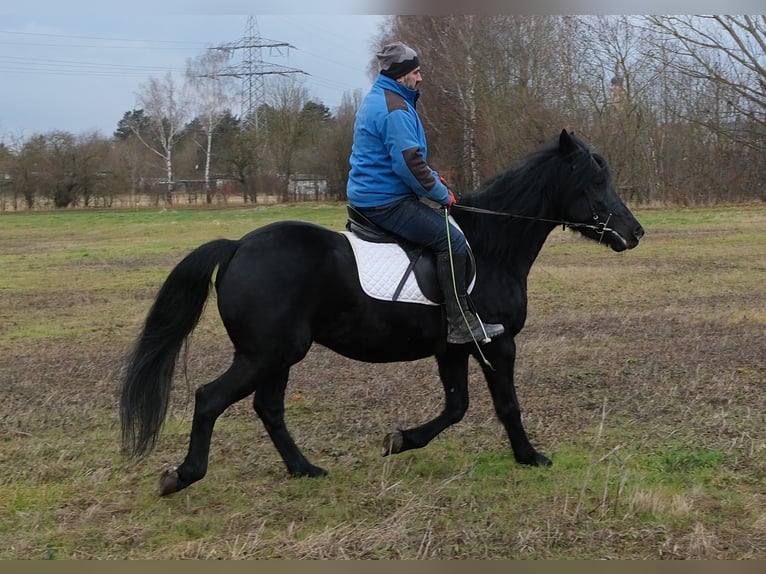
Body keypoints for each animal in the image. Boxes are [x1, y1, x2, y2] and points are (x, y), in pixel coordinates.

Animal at [120, 129, 644, 496]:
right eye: (594, 183)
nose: (635, 232)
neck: (491, 245)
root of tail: (237, 247)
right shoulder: (498, 342)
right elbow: (505, 405)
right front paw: (530, 456)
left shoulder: (453, 348)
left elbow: (456, 406)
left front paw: (399, 440)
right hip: (264, 354)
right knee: (210, 399)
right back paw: (182, 476)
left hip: (277, 356)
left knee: (268, 408)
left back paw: (304, 469)